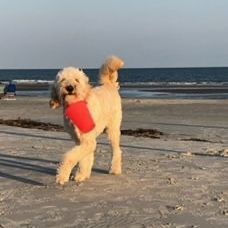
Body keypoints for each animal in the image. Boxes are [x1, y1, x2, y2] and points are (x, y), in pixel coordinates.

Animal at [49, 55, 124, 185]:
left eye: (77, 80)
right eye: (63, 80)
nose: (70, 87)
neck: (76, 105)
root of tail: (109, 85)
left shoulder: (87, 139)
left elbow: (70, 157)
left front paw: (62, 175)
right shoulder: (80, 139)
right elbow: (84, 157)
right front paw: (82, 175)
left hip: (112, 129)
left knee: (116, 150)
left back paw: (115, 169)